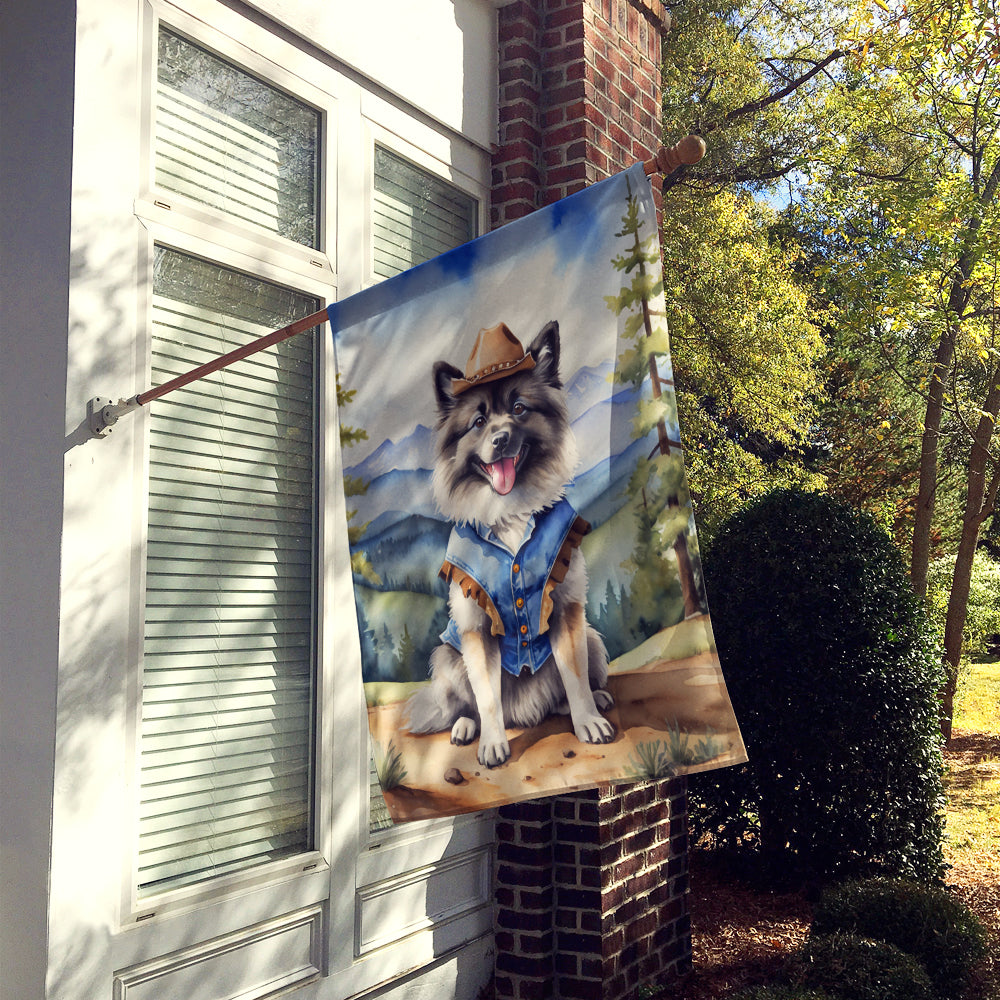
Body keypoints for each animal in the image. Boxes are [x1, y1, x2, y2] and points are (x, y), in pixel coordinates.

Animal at [404, 320, 608, 764]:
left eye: (519, 409)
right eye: (478, 422)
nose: (500, 439)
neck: (511, 514)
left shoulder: (566, 611)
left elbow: (574, 676)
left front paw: (587, 721)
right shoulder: (476, 630)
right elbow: (487, 698)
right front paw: (494, 744)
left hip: (592, 637)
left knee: (573, 685)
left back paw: (591, 701)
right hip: (447, 657)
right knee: (463, 706)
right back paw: (466, 728)